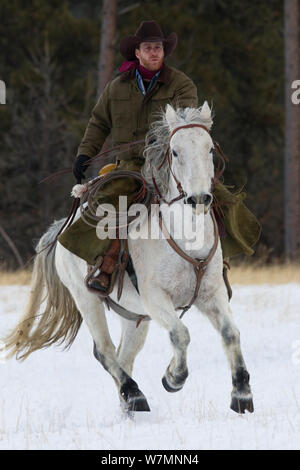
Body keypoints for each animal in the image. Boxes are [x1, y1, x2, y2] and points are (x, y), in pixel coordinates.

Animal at [4, 103, 253, 414]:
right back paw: (134, 394)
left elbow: (231, 333)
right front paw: (173, 377)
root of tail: (61, 228)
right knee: (105, 351)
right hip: (87, 299)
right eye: (175, 151)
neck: (184, 237)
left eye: (209, 149)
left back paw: (128, 403)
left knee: (125, 356)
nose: (198, 199)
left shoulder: (212, 293)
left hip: (134, 317)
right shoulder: (156, 298)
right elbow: (180, 334)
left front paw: (241, 393)